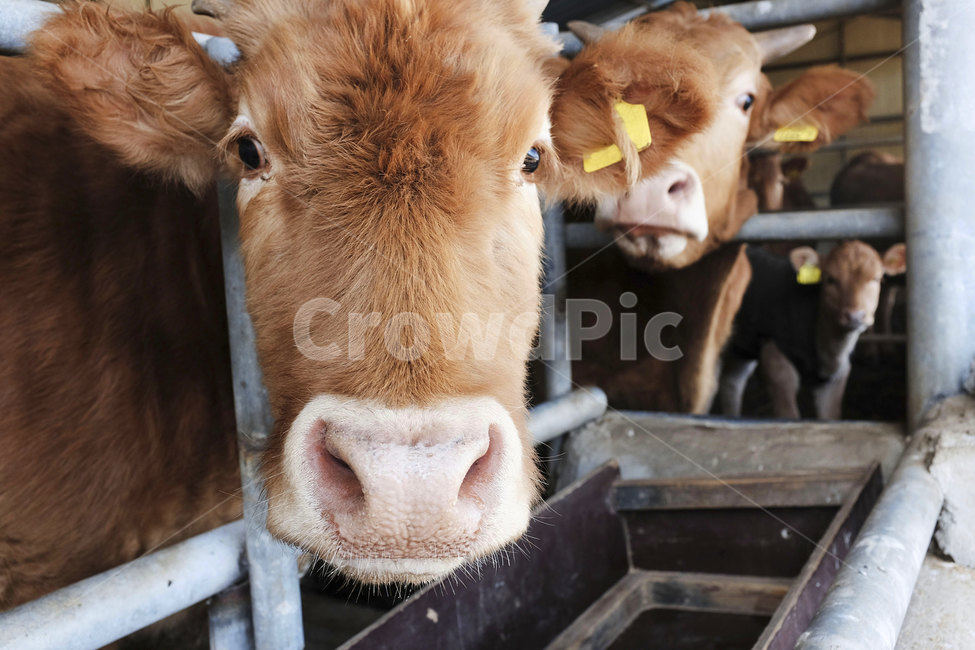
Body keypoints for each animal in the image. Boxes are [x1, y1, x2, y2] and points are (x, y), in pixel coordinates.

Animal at [718, 241, 907, 419]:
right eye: (830, 279)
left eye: (877, 278)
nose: (855, 316)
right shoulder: (777, 362)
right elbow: (789, 416)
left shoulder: (837, 377)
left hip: (745, 344)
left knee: (732, 381)